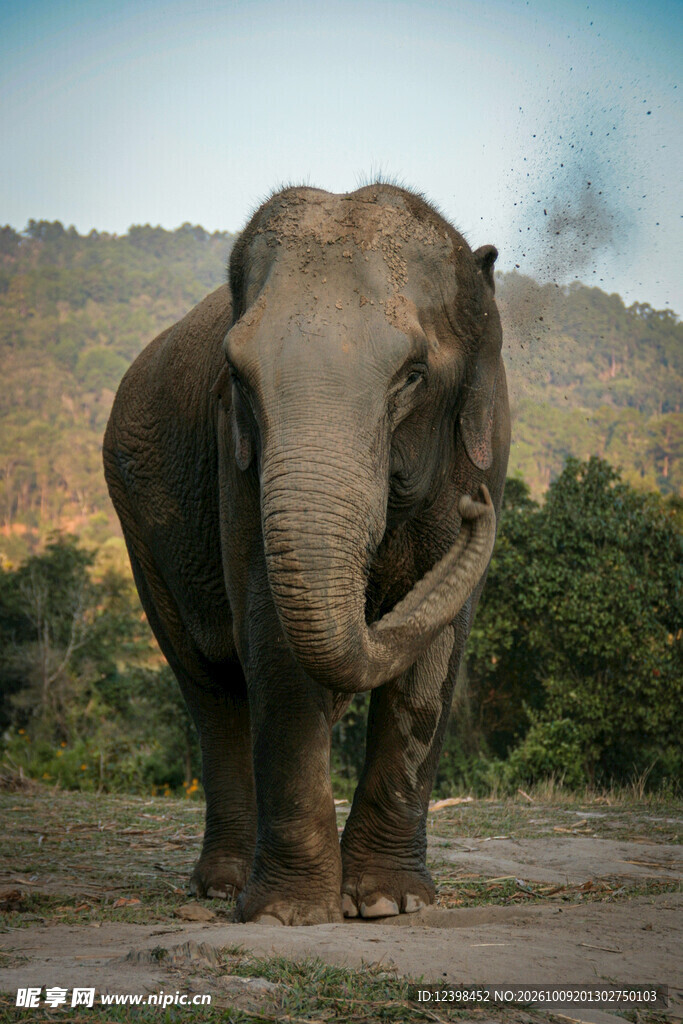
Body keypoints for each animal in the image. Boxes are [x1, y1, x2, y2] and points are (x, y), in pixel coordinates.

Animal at [103, 184, 510, 926]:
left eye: (413, 375)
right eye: (236, 374)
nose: (478, 510)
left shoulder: (486, 442)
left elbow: (439, 651)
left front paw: (386, 903)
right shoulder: (233, 455)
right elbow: (269, 629)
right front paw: (288, 914)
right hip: (139, 530)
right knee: (209, 689)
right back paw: (226, 886)